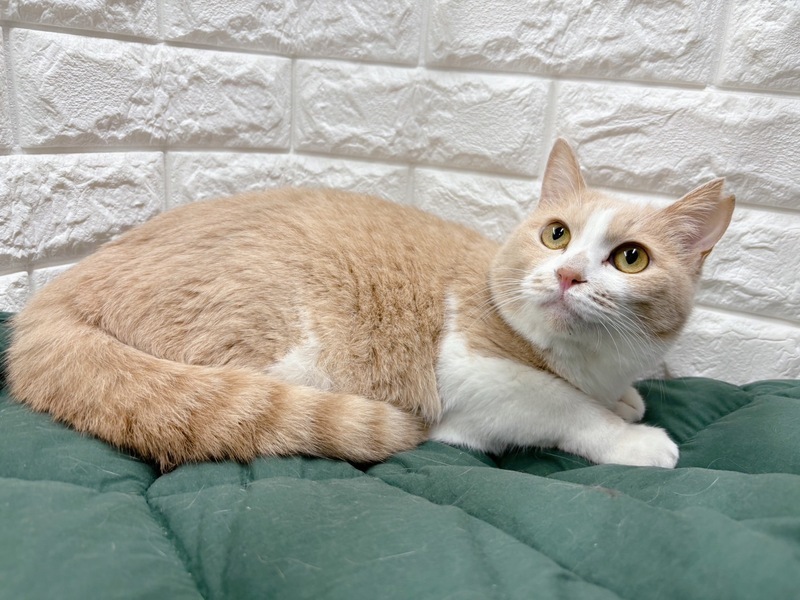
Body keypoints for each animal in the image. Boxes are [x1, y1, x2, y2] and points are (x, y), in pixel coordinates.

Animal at [6, 139, 734, 471]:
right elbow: (564, 408)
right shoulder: (474, 374)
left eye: (631, 258)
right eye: (556, 234)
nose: (568, 274)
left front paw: (627, 401)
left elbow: (606, 394)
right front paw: (632, 436)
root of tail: (64, 285)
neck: (586, 360)